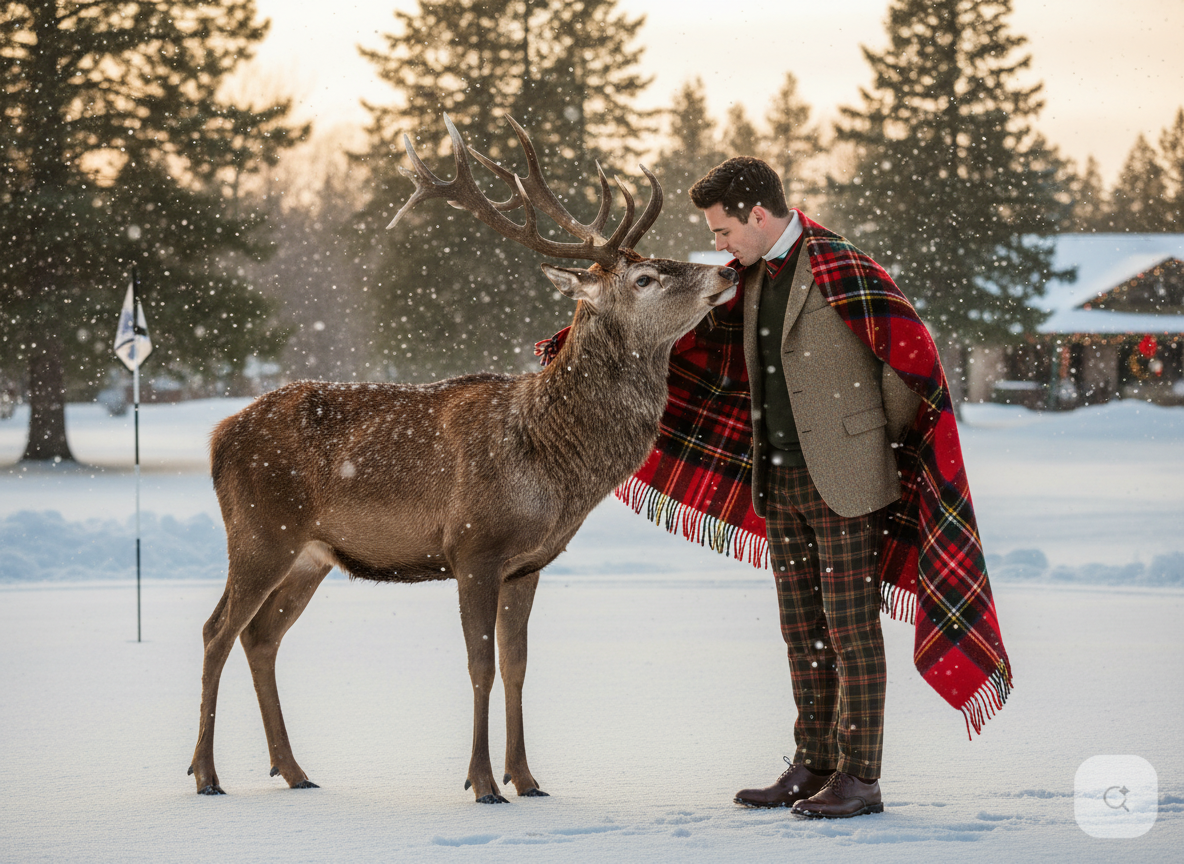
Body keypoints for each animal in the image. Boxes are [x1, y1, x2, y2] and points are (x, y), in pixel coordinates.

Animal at [188, 114, 738, 803]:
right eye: (644, 279)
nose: (724, 273)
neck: (553, 465)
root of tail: (218, 437)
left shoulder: (528, 564)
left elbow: (517, 665)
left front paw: (526, 778)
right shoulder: (473, 546)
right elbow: (480, 666)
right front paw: (482, 783)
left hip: (311, 554)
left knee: (261, 637)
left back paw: (294, 770)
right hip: (261, 530)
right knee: (216, 631)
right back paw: (206, 774)